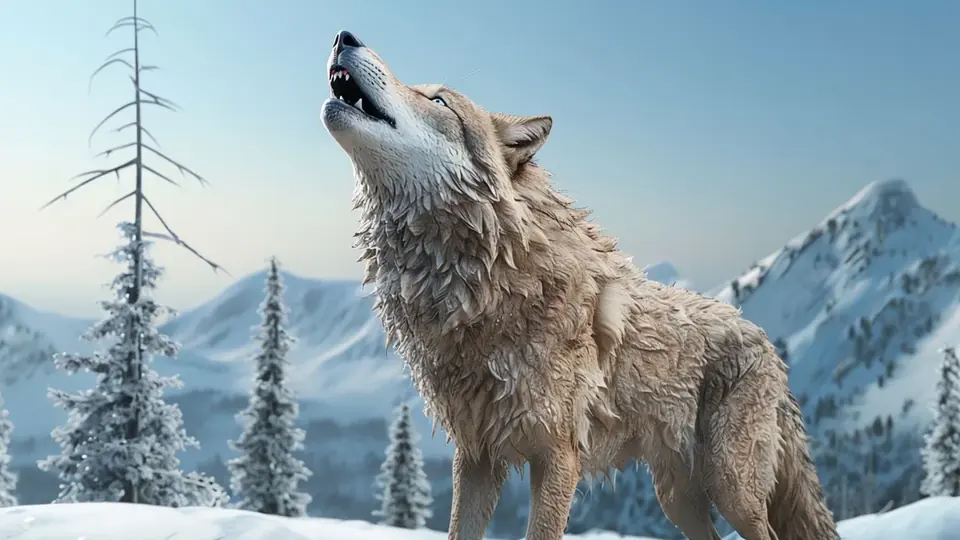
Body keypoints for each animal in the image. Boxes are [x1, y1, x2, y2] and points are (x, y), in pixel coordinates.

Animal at [320, 30, 839, 540]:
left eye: (439, 100)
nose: (344, 36)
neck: (486, 287)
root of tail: (763, 337)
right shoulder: (476, 457)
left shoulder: (557, 456)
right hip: (677, 499)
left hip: (731, 489)